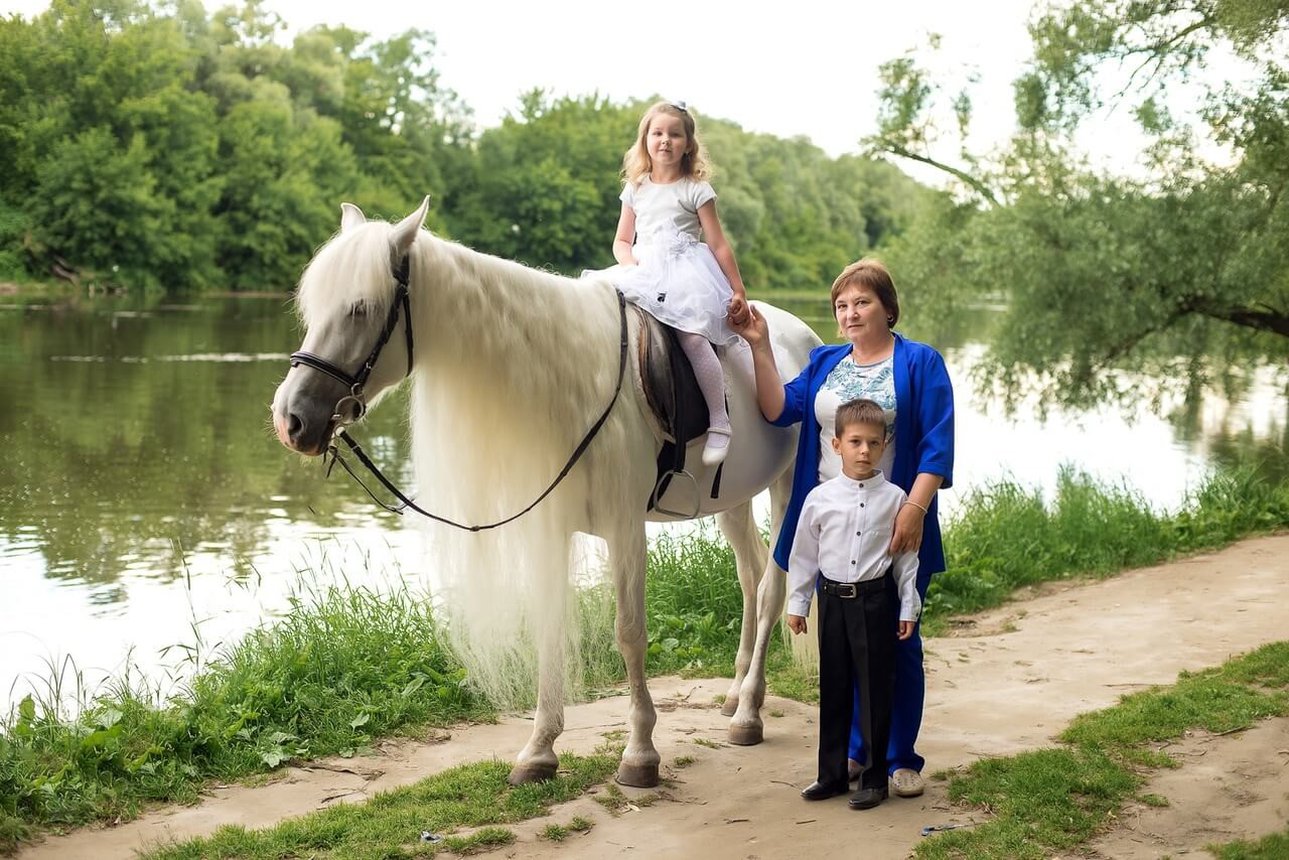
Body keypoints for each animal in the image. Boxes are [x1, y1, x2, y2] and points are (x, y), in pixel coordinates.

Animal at [269, 199, 824, 789]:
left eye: (360, 309)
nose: (291, 419)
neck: (576, 379)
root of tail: (807, 339)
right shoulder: (552, 529)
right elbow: (549, 628)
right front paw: (539, 749)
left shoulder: (625, 530)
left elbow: (630, 633)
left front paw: (640, 752)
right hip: (734, 502)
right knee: (750, 576)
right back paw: (737, 692)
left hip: (789, 492)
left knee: (771, 590)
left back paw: (748, 712)